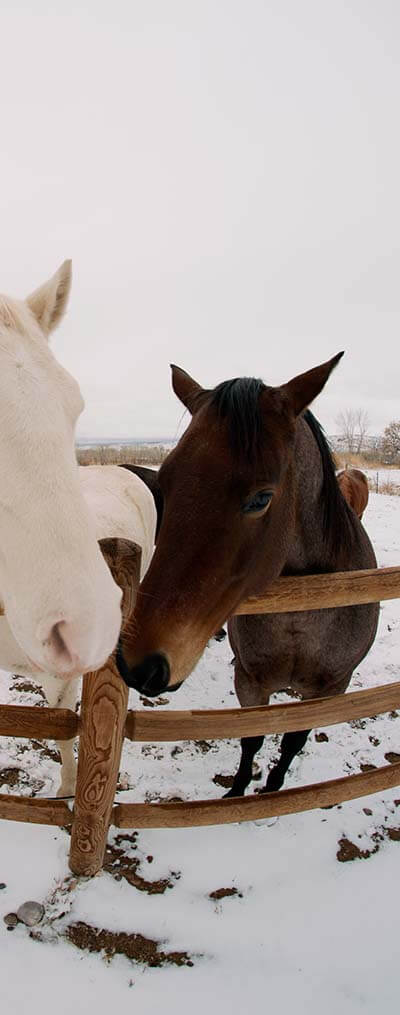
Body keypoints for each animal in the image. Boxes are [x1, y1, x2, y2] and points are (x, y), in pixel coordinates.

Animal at [117, 355, 377, 791]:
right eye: (166, 483)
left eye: (261, 498)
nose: (138, 663)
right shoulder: (251, 683)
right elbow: (252, 738)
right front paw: (239, 791)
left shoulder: (329, 690)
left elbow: (292, 742)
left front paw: (272, 788)